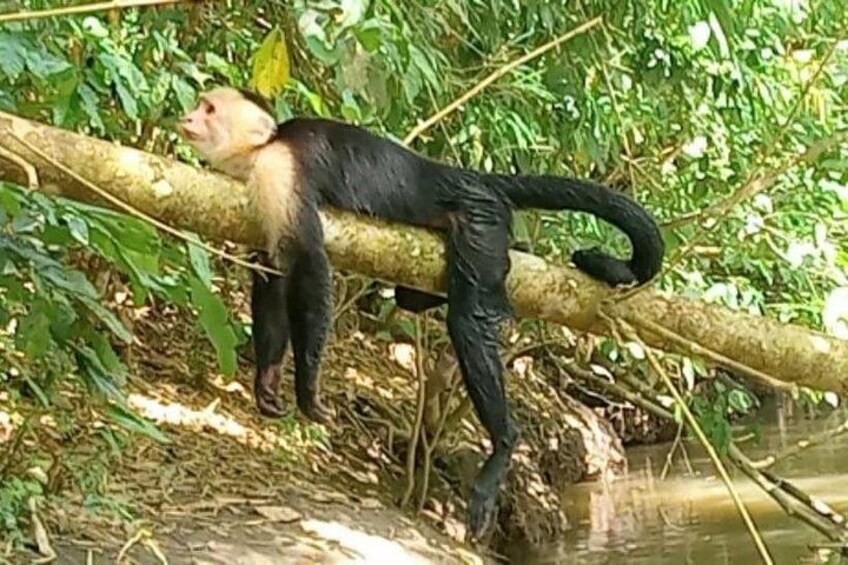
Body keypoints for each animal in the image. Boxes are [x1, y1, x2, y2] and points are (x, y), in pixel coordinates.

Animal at [178, 86, 664, 538]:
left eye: (210, 109)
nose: (186, 116)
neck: (261, 151)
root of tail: (467, 176)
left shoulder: (280, 172)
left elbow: (311, 267)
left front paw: (308, 390)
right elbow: (273, 278)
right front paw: (267, 382)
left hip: (481, 218)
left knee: (469, 321)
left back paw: (503, 444)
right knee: (412, 298)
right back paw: (512, 258)